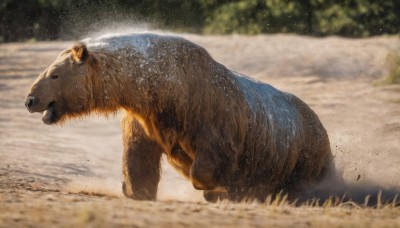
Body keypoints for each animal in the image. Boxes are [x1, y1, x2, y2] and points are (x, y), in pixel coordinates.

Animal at [24, 33, 332, 201]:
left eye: (54, 74)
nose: (30, 100)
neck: (163, 88)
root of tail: (320, 123)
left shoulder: (209, 114)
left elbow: (210, 161)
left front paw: (216, 188)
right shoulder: (145, 116)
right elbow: (138, 156)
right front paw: (134, 189)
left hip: (302, 150)